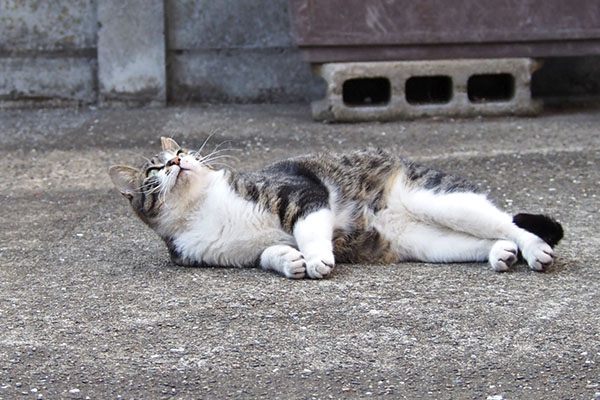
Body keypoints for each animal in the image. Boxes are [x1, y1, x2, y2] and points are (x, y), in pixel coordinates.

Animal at [110, 138, 564, 278]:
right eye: (154, 169)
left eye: (183, 151)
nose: (176, 160)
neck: (202, 206)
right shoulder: (234, 254)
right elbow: (269, 253)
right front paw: (289, 261)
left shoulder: (300, 193)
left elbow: (309, 229)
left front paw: (314, 258)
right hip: (429, 243)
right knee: (478, 239)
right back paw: (500, 253)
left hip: (441, 199)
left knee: (508, 223)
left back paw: (534, 249)